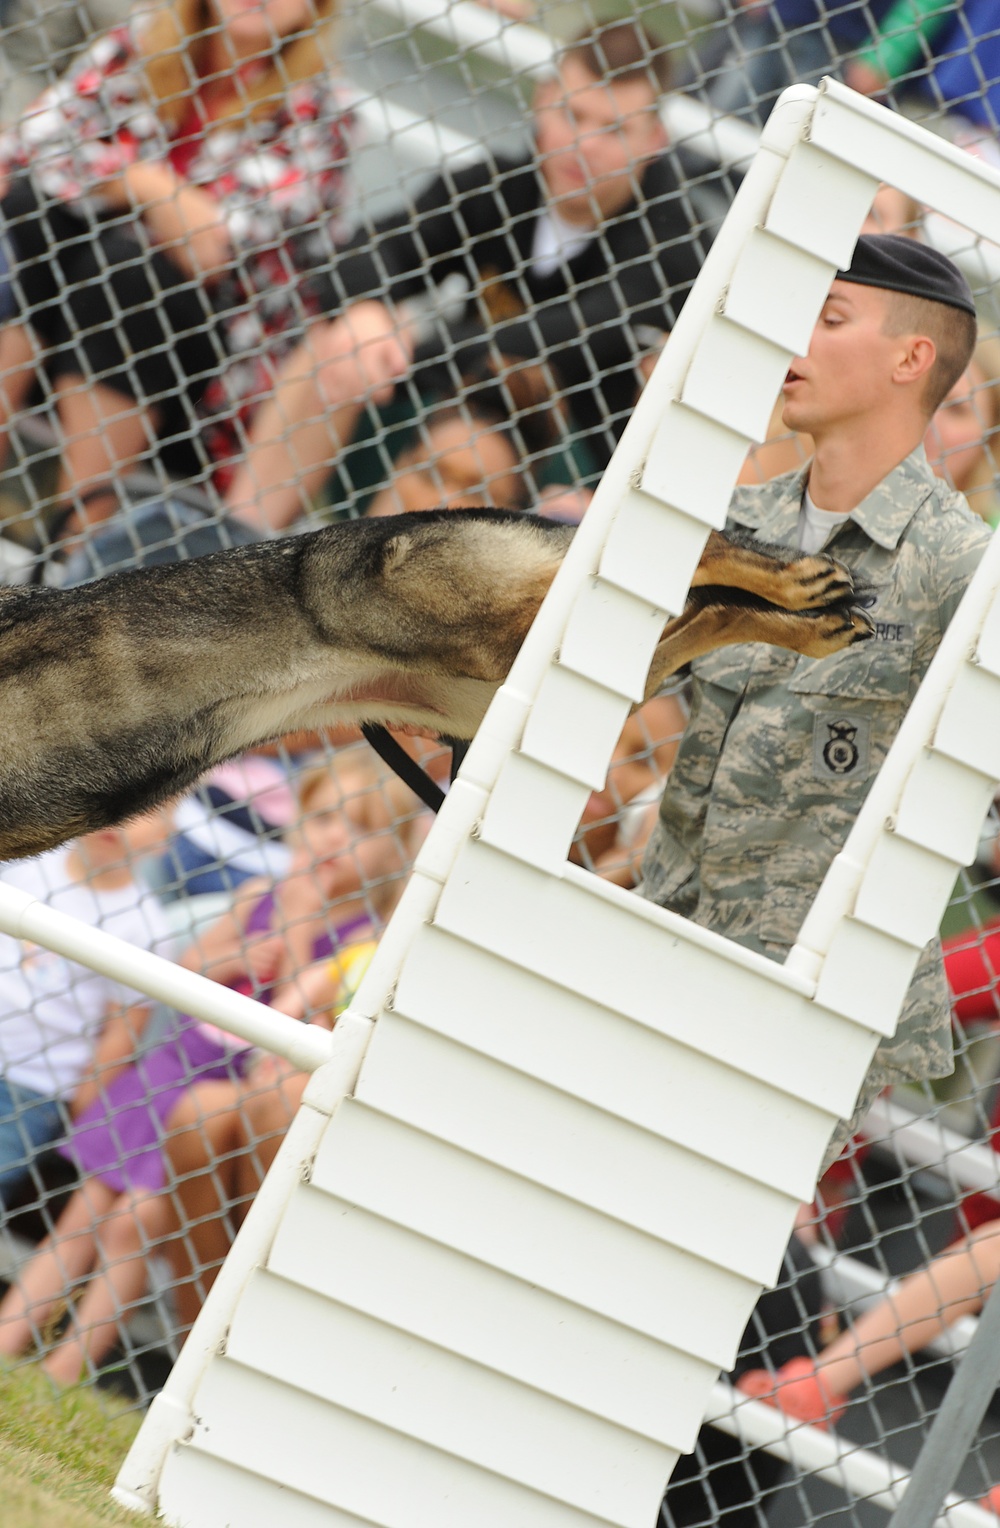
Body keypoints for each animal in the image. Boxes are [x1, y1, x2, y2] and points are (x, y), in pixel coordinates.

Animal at [0, 507, 874, 855]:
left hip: (489, 626)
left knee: (681, 551)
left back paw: (795, 583)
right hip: (509, 677)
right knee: (700, 608)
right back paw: (813, 619)